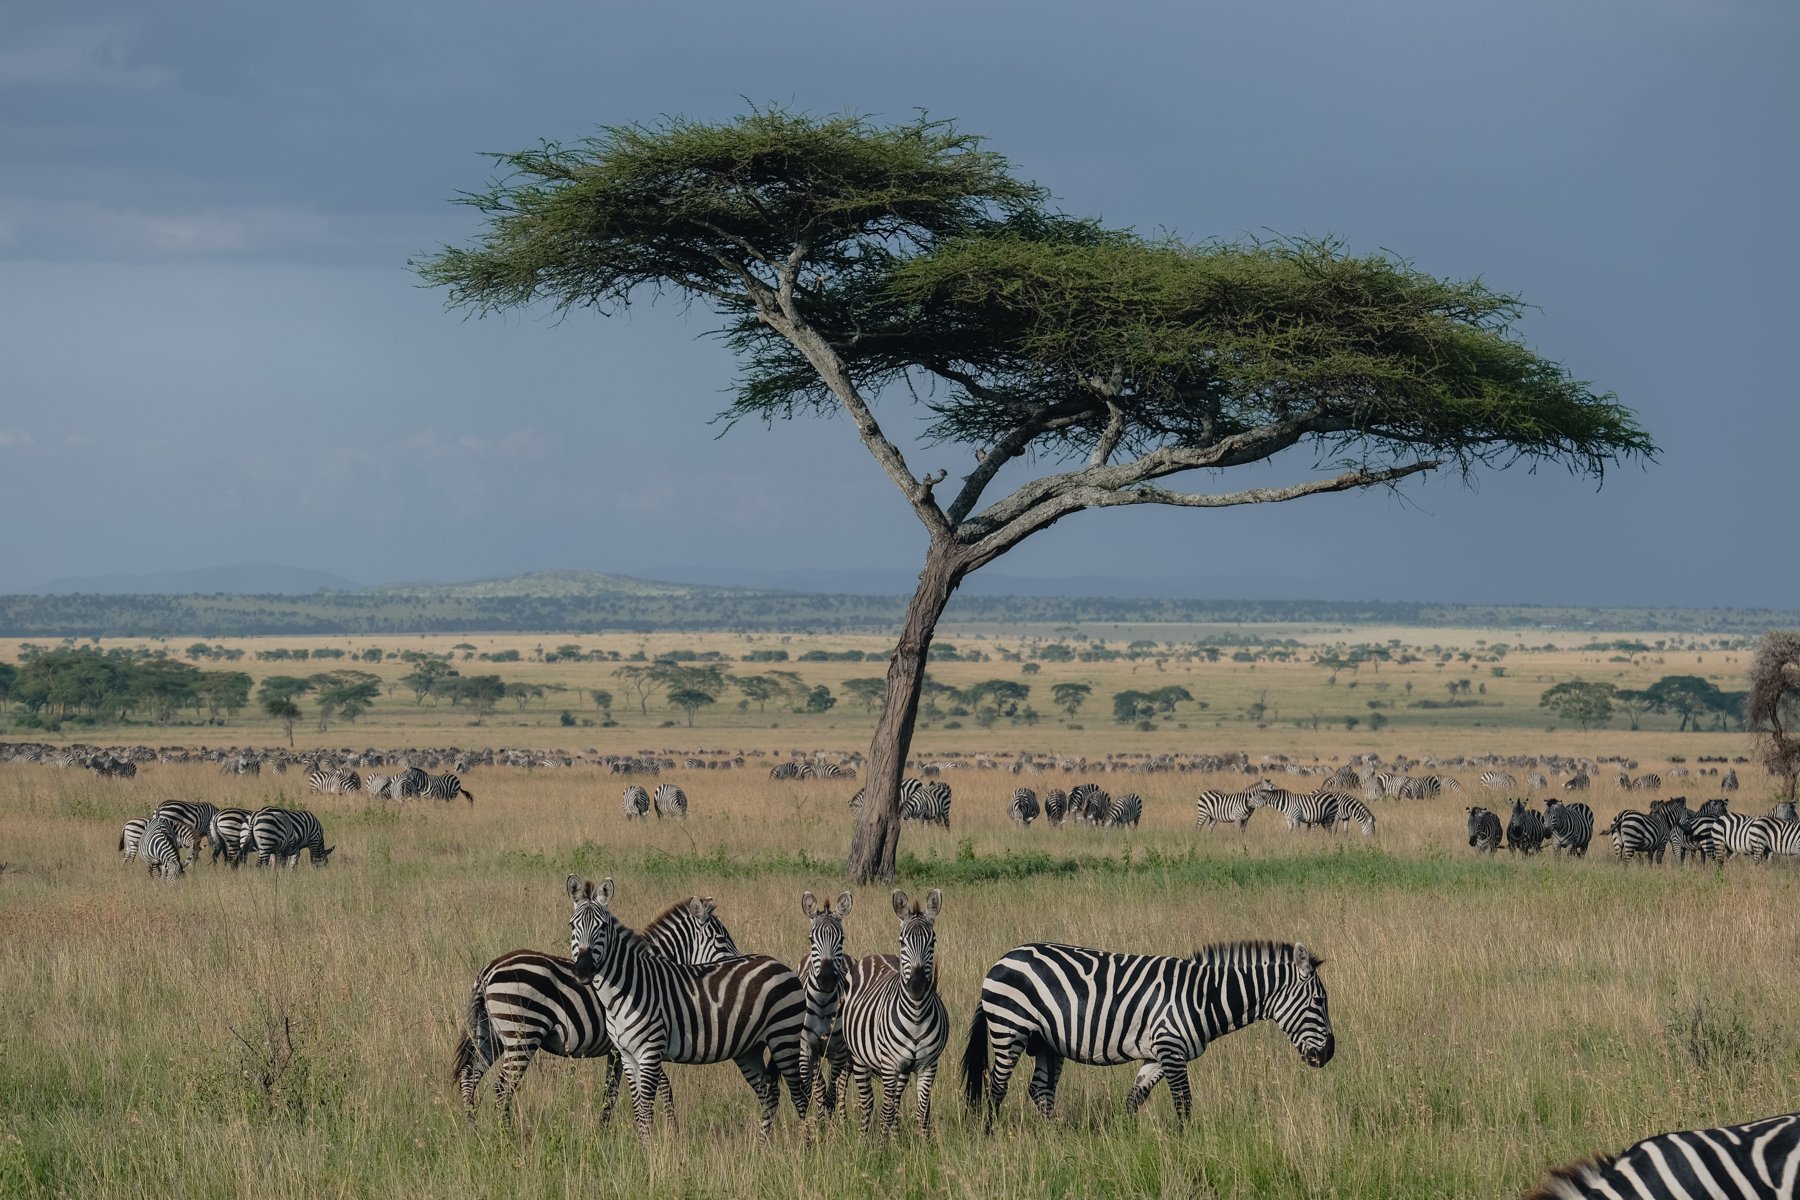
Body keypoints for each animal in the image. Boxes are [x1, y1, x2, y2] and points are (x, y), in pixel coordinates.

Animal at [455, 895, 741, 1128]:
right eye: (722, 938)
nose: (741, 962)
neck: (648, 974)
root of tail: (488, 970)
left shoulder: (621, 1048)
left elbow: (611, 1093)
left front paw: (603, 1132)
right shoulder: (636, 1042)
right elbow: (659, 1088)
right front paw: (672, 1131)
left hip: (491, 1034)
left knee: (469, 1077)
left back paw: (474, 1130)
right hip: (521, 1034)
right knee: (501, 1088)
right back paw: (507, 1136)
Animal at [565, 876, 810, 1142]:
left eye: (602, 928)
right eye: (572, 926)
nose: (583, 971)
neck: (627, 989)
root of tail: (779, 964)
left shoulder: (649, 1053)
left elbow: (647, 1109)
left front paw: (652, 1149)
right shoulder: (627, 1056)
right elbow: (638, 1109)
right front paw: (644, 1146)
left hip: (784, 1038)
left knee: (800, 1095)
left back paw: (807, 1146)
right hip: (750, 1049)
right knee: (769, 1092)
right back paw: (763, 1146)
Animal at [796, 891, 854, 1116]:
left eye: (842, 939)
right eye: (811, 939)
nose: (827, 979)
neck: (821, 1004)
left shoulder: (838, 1052)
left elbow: (832, 1091)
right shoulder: (807, 1048)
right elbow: (812, 1089)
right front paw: (816, 1120)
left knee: (841, 1086)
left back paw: (842, 1117)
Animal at [837, 889, 949, 1136]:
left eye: (933, 941)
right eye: (902, 941)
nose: (916, 985)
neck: (916, 1016)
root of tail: (876, 955)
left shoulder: (929, 1065)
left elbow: (922, 1111)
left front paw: (924, 1143)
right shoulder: (890, 1064)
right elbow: (886, 1111)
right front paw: (881, 1145)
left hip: (903, 1069)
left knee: (895, 1100)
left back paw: (895, 1137)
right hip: (859, 1057)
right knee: (867, 1100)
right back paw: (863, 1137)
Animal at [961, 940, 1333, 1130]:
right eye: (1319, 1001)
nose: (1329, 1054)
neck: (1204, 996)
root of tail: (1001, 959)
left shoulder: (1158, 1054)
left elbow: (1134, 1099)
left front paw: (1124, 1137)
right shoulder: (1170, 1046)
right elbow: (1184, 1103)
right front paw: (1186, 1146)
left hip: (1047, 1043)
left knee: (1039, 1090)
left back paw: (1055, 1135)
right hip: (1009, 1028)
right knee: (997, 1087)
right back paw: (990, 1134)